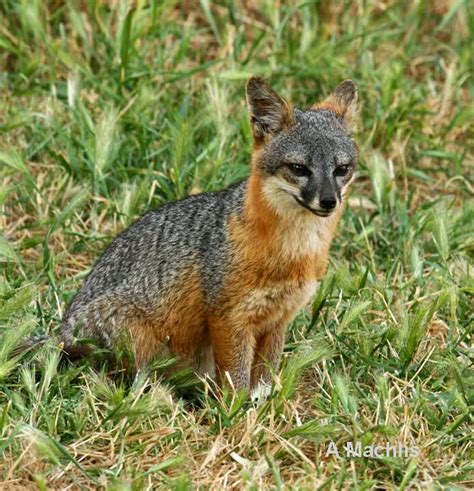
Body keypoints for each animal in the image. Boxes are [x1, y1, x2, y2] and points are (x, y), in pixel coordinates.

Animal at [57, 76, 358, 396]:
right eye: (299, 169)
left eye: (341, 169)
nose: (329, 201)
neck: (293, 253)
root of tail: (62, 331)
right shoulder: (229, 318)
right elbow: (236, 383)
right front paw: (237, 409)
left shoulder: (278, 319)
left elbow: (264, 380)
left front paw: (265, 406)